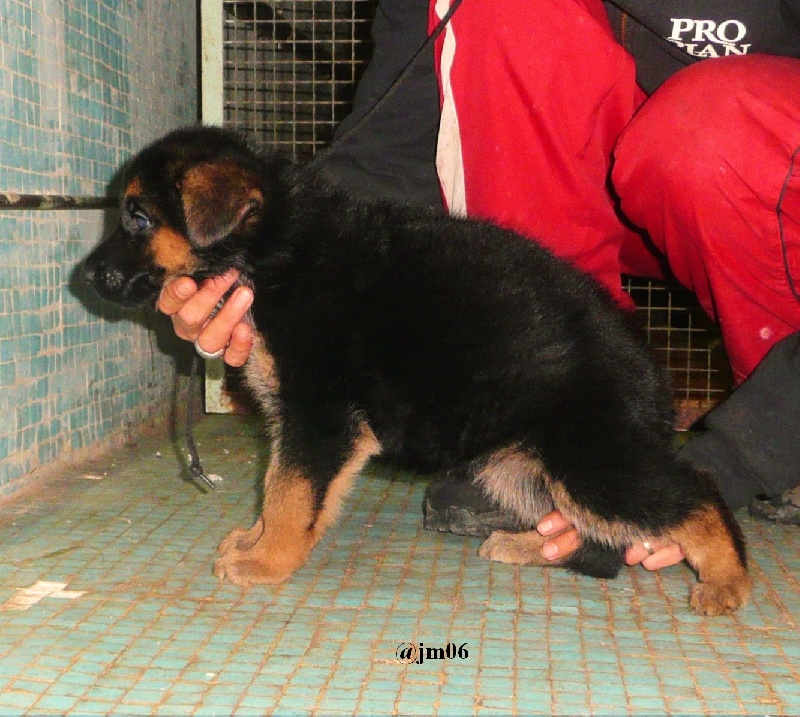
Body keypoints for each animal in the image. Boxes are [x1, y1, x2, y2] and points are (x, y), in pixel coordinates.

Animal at [83, 126, 752, 612]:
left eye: (138, 218)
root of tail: (649, 371)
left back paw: (727, 580)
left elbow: (291, 495)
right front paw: (257, 539)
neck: (274, 250)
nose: (84, 277)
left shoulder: (321, 417)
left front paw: (268, 559)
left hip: (588, 462)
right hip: (518, 466)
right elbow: (277, 487)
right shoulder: (301, 419)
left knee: (695, 495)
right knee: (587, 528)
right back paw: (529, 546)